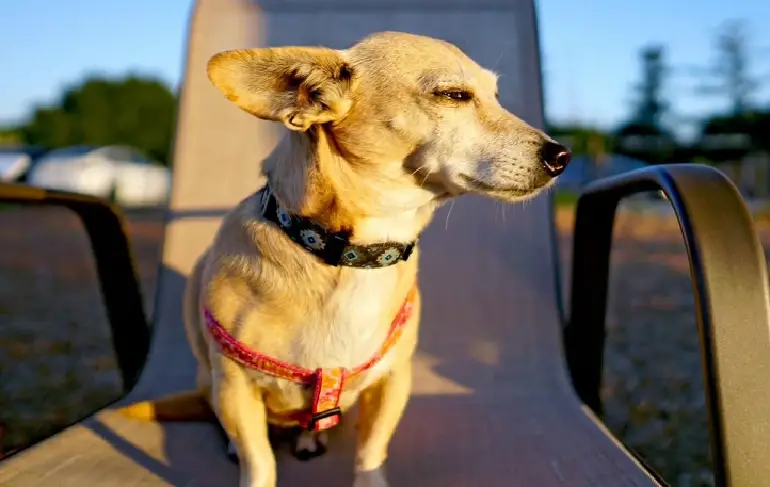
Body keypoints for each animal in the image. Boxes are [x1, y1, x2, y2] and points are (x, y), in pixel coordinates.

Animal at [117, 31, 568, 487]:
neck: (351, 257)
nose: (561, 156)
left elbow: (371, 452)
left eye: (496, 97)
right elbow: (259, 460)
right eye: (454, 95)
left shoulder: (392, 382)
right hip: (209, 374)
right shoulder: (234, 387)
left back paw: (309, 437)